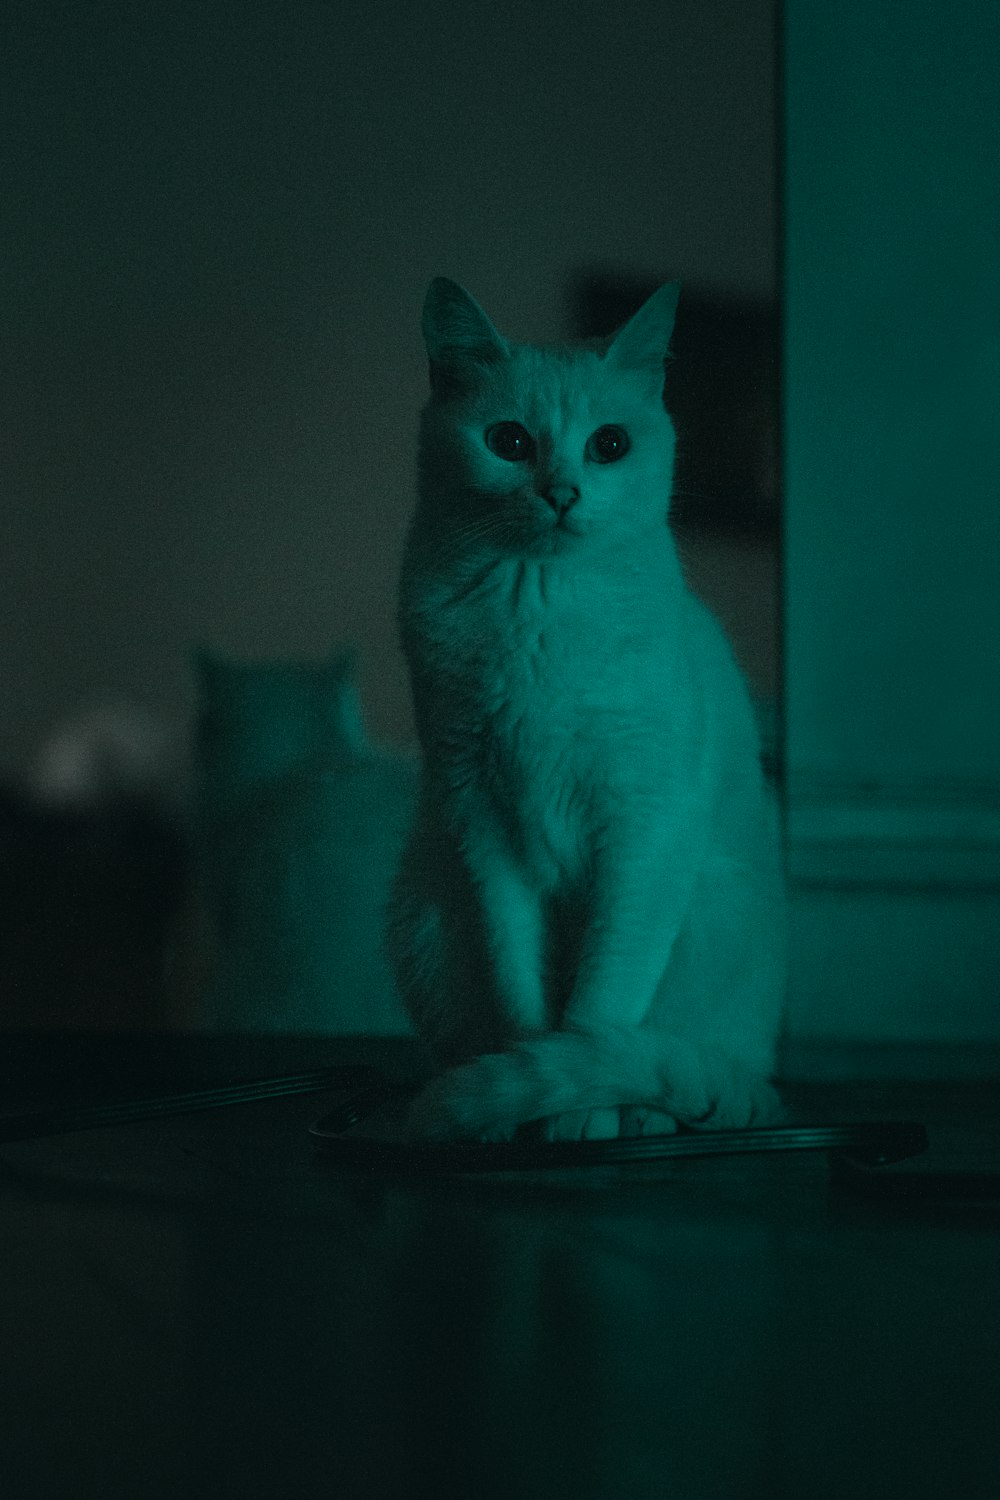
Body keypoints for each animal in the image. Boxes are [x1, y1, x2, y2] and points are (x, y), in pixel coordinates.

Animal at [386, 279, 785, 1134]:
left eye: (609, 445)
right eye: (507, 440)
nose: (562, 494)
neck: (536, 607)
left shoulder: (642, 832)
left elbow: (597, 1006)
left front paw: (577, 1119)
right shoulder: (483, 832)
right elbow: (526, 1002)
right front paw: (525, 1111)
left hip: (706, 915)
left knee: (670, 1060)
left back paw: (645, 1112)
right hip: (427, 913)